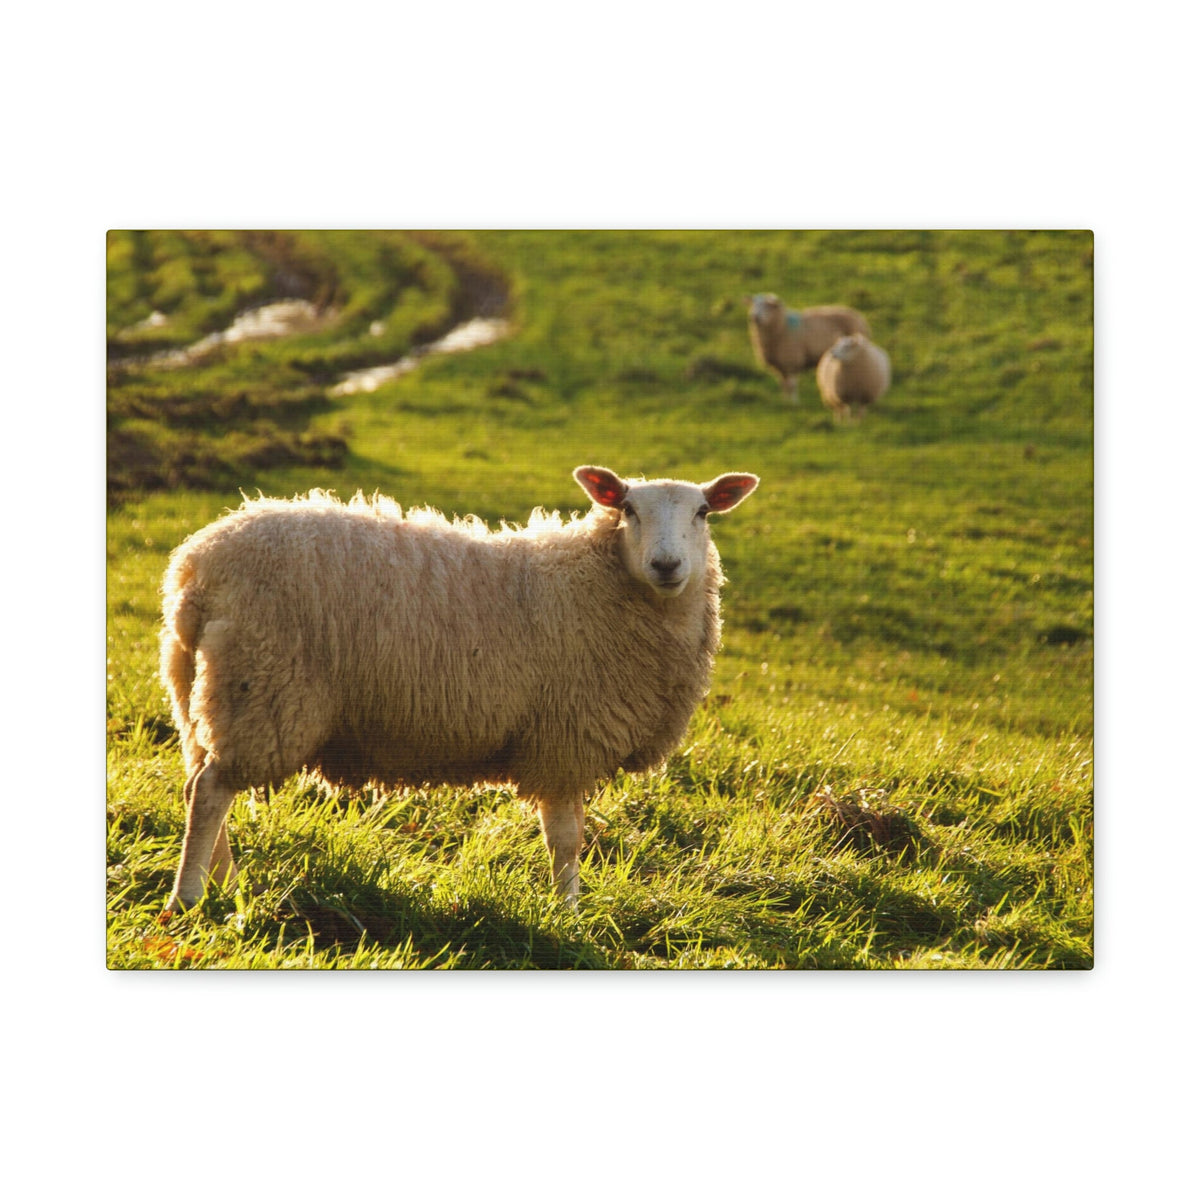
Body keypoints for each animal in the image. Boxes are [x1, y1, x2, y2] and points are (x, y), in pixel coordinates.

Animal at [159, 464, 759, 913]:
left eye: (703, 512)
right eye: (628, 509)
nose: (667, 564)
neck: (598, 581)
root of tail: (195, 567)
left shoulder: (566, 741)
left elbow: (573, 833)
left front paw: (567, 906)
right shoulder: (564, 738)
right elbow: (566, 838)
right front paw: (568, 912)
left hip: (202, 692)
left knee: (197, 784)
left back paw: (225, 886)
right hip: (262, 689)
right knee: (212, 790)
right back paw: (187, 899)